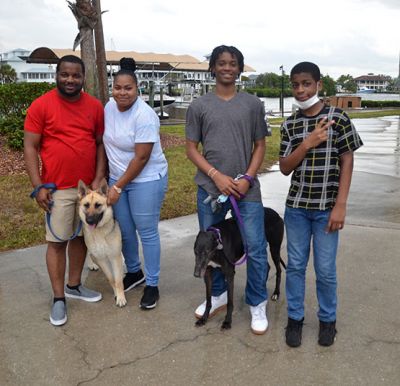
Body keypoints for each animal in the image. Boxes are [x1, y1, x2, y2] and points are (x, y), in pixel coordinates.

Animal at [77, 178, 127, 308]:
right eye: (86, 205)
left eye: (98, 205)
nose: (89, 221)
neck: (99, 231)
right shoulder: (101, 259)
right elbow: (111, 278)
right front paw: (116, 293)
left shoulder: (114, 256)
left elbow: (118, 280)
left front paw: (121, 297)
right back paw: (91, 264)